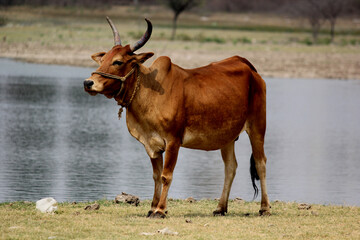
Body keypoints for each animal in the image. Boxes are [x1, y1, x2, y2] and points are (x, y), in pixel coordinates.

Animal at [83, 17, 270, 218]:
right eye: (102, 59)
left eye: (118, 62)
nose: (88, 82)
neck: (149, 93)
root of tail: (248, 67)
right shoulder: (151, 145)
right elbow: (156, 176)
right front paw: (152, 207)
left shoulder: (173, 141)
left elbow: (166, 175)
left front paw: (160, 210)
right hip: (227, 136)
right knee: (230, 167)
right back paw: (221, 207)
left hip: (257, 126)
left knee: (260, 163)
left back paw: (264, 207)